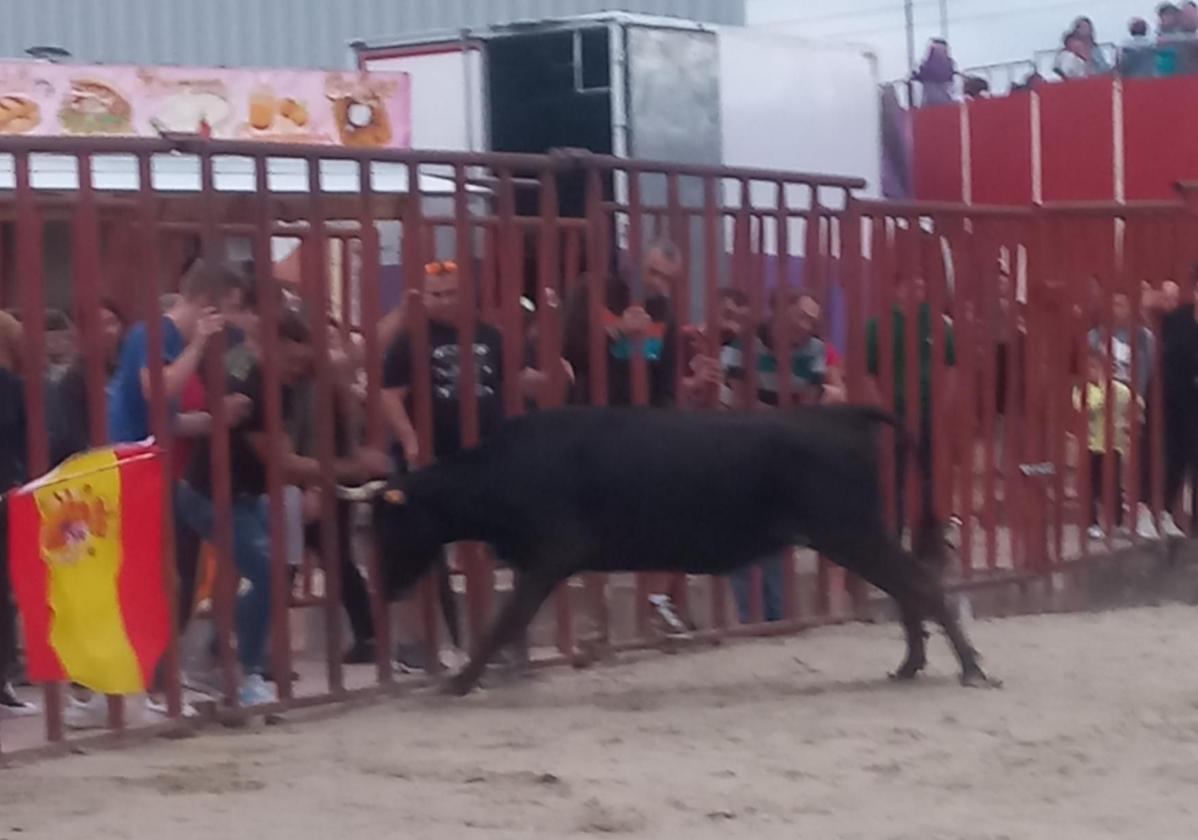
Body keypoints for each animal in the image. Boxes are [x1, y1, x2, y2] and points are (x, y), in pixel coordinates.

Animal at [359, 407, 996, 695]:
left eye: (387, 526)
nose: (381, 590)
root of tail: (841, 413)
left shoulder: (552, 554)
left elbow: (503, 620)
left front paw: (460, 682)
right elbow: (508, 621)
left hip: (849, 529)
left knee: (920, 584)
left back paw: (969, 669)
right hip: (854, 533)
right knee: (909, 586)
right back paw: (911, 665)